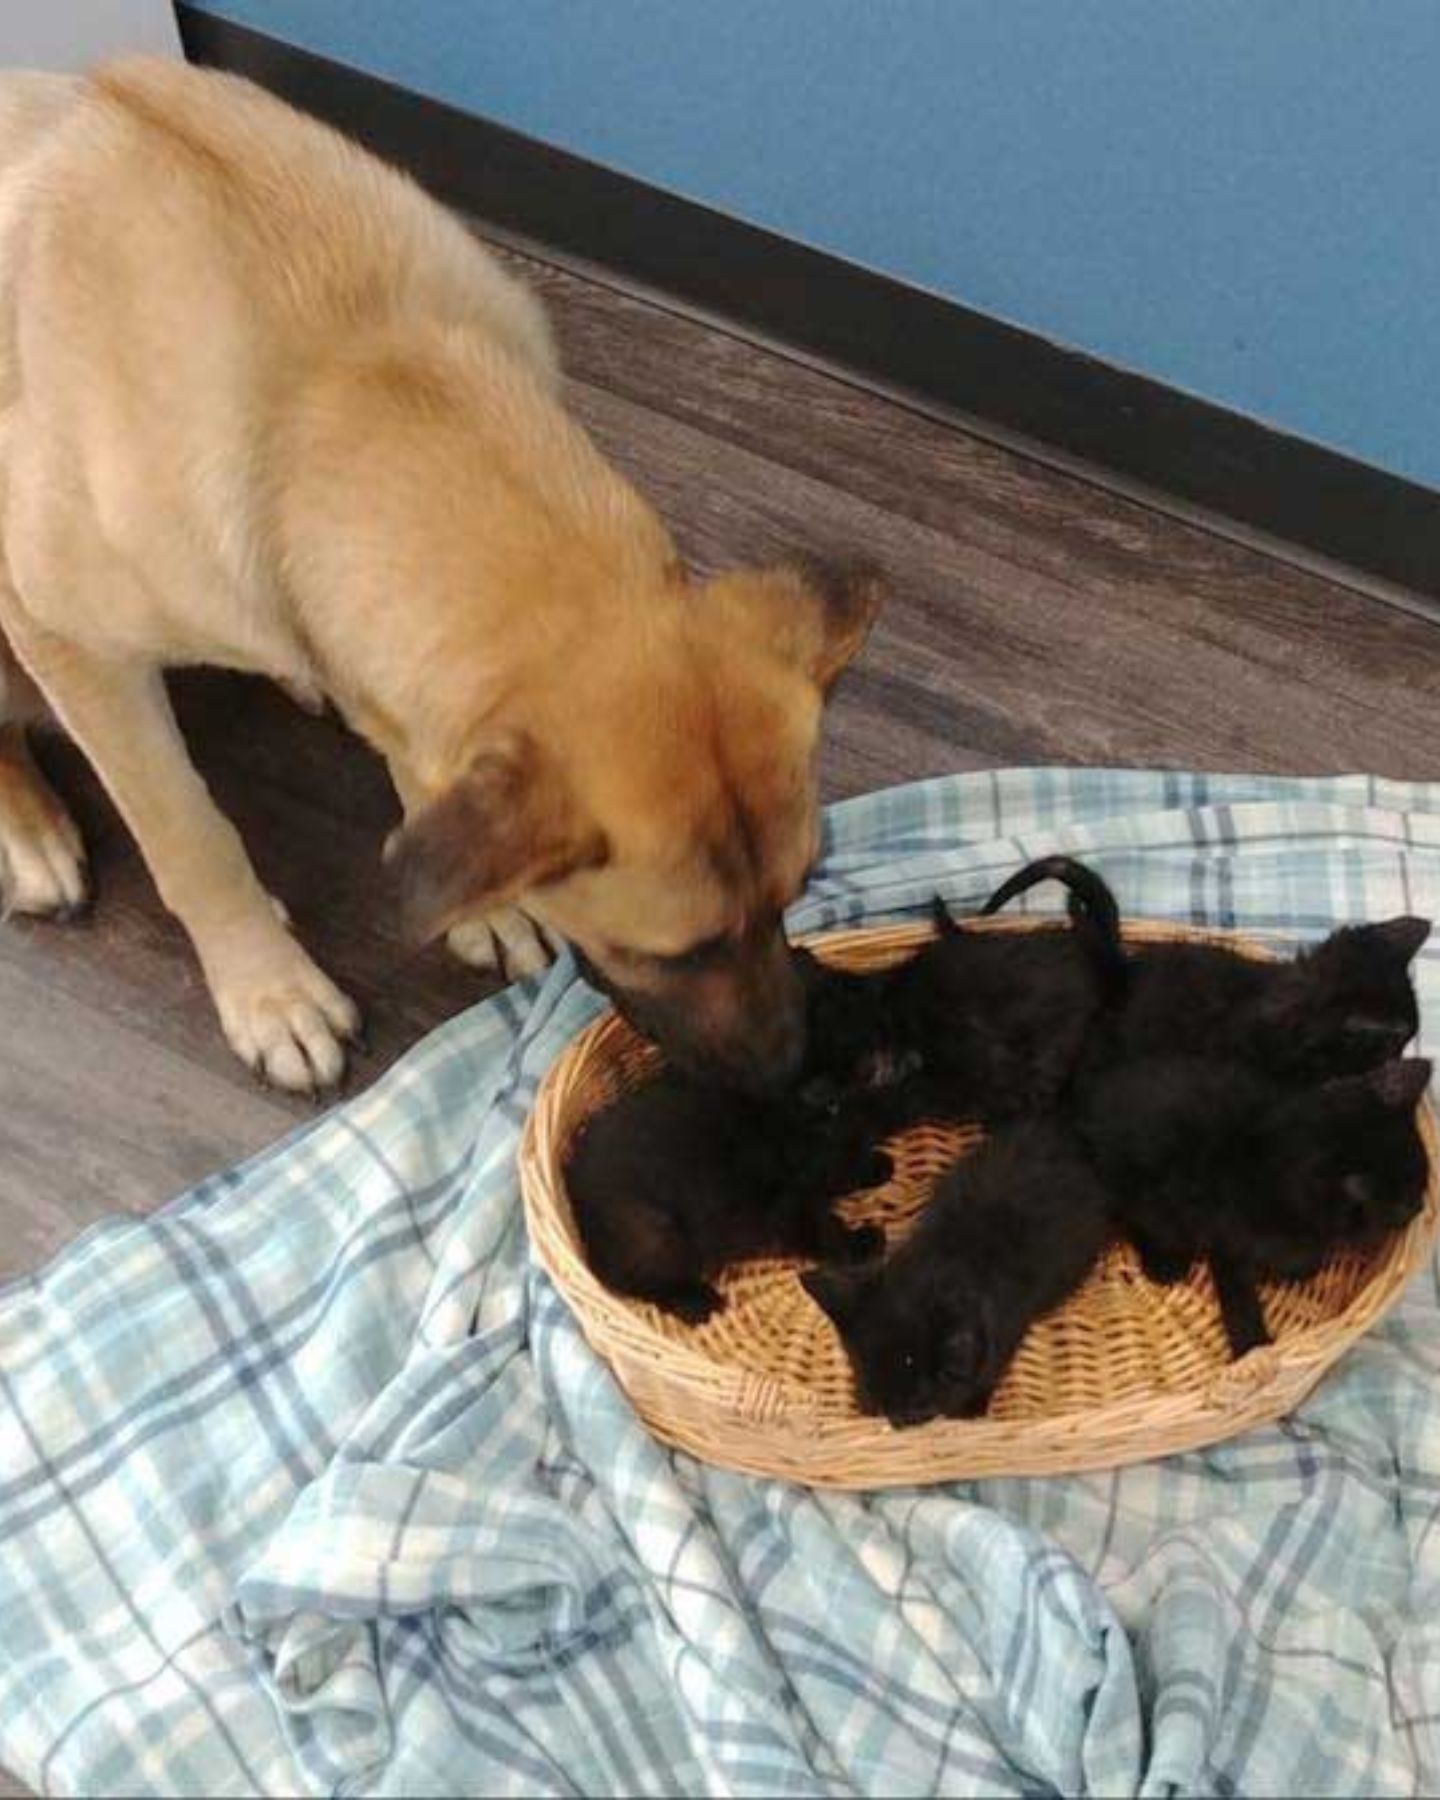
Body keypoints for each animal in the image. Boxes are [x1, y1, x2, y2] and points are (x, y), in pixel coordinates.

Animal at [0, 56, 878, 1087]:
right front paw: (270, 991)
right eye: (677, 953)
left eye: (796, 892)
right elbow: (190, 836)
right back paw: (32, 833)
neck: (345, 381)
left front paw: (483, 903)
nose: (796, 1069)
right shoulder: (71, 644)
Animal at [802, 1116, 1108, 1425]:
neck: (940, 1260)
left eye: (915, 1410)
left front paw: (970, 1407)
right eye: (875, 1399)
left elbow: (990, 1367)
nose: (897, 1421)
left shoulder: (1007, 1328)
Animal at [1080, 1051, 1425, 1353]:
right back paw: (1165, 1264)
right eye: (1407, 1202)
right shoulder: (1229, 1240)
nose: (1421, 1207)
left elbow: (1305, 1261)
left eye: (1421, 1186)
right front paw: (1253, 1347)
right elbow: (1240, 1296)